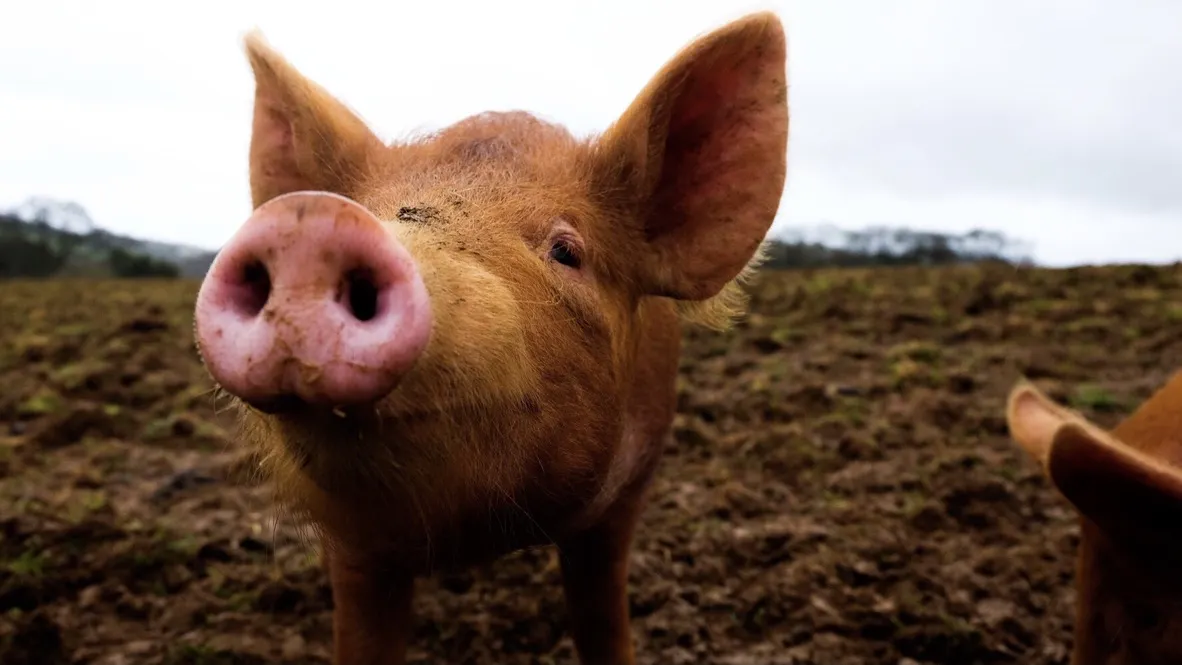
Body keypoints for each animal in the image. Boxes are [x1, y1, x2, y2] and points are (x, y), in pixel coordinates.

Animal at [192, 12, 788, 665]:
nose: (310, 221)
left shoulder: (628, 490)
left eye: (567, 250)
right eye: (366, 207)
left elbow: (602, 613)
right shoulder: (353, 542)